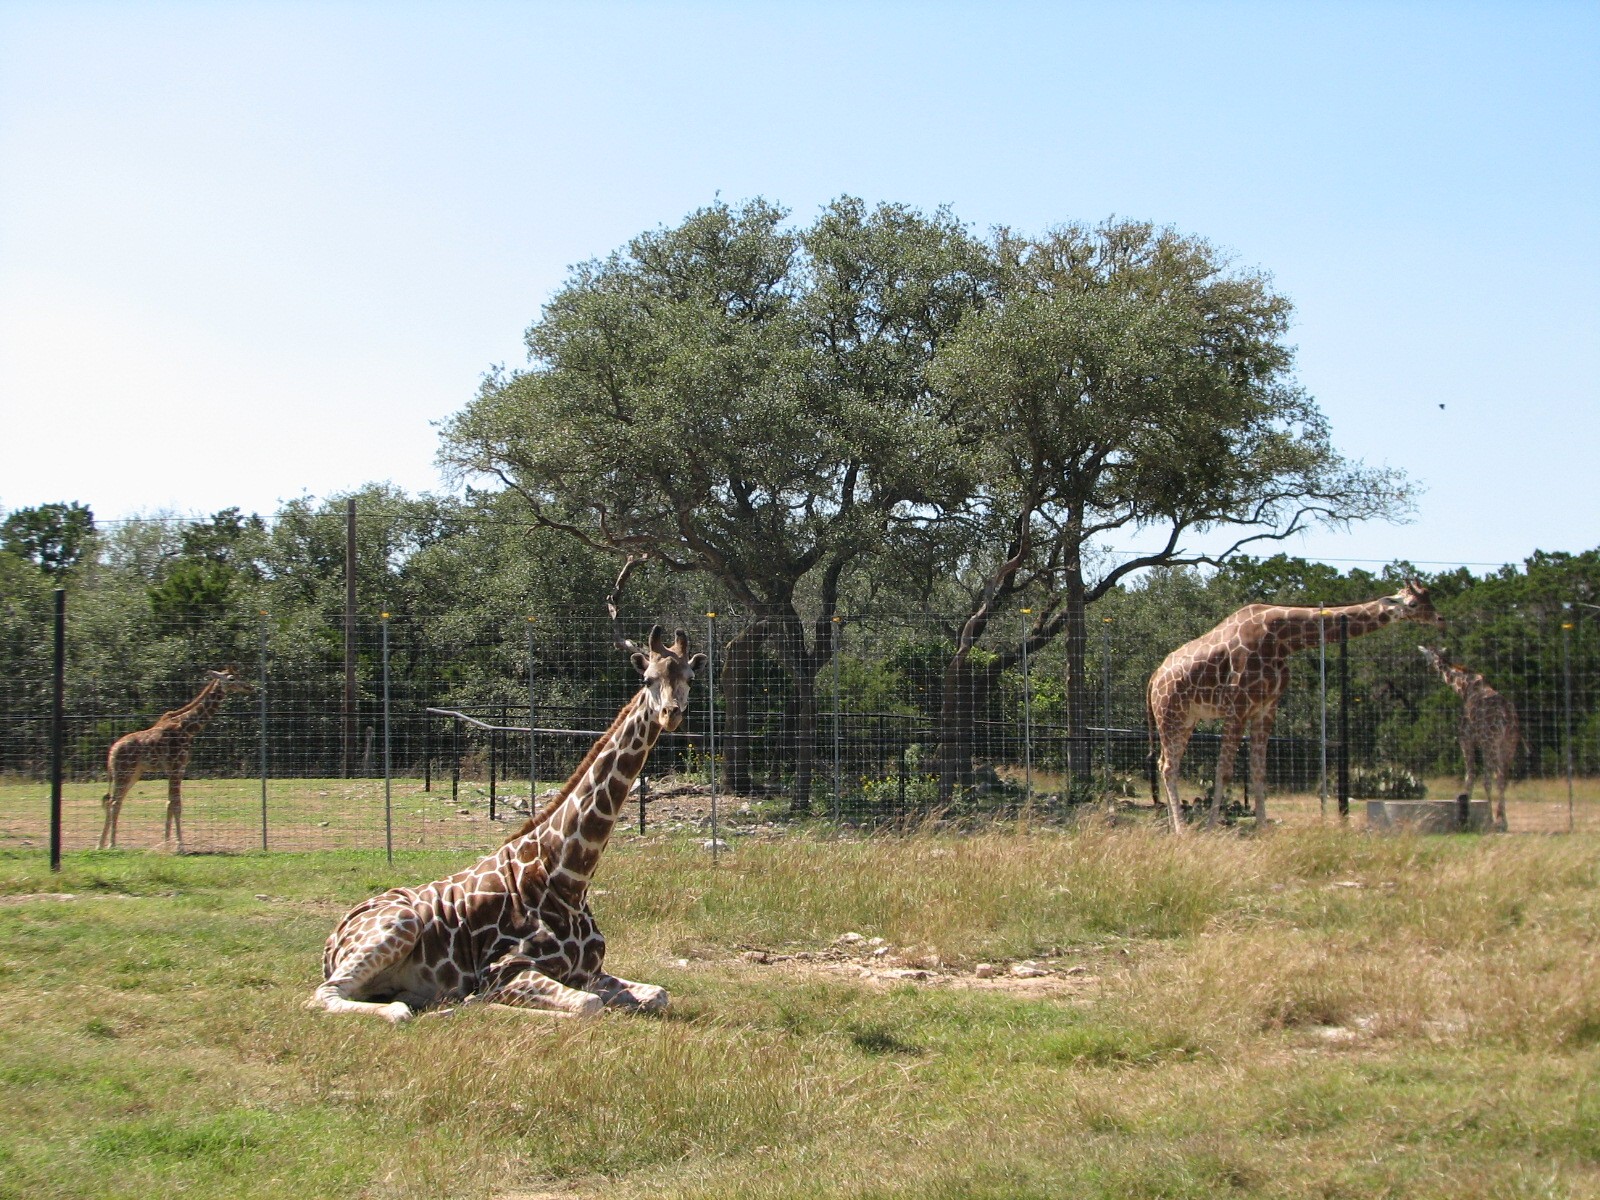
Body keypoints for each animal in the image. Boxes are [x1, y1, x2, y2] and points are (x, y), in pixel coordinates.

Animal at [99, 666, 254, 852]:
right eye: (231, 679)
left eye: (240, 676)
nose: (249, 687)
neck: (187, 728)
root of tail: (111, 753)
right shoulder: (175, 766)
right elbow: (176, 804)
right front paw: (180, 847)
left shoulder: (179, 769)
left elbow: (170, 804)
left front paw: (167, 844)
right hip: (123, 772)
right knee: (114, 802)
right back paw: (111, 844)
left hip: (133, 773)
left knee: (113, 801)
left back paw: (100, 844)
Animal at [307, 624, 705, 1022]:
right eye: (647, 678)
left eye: (690, 678)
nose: (670, 715)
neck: (569, 878)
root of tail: (331, 941)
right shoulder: (505, 969)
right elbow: (588, 1006)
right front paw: (487, 1003)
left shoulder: (589, 971)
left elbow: (659, 993)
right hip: (399, 924)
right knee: (325, 996)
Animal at [1147, 582, 1443, 833]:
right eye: (1414, 603)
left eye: (1429, 598)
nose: (1440, 619)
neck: (1283, 638)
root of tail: (1154, 678)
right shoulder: (1239, 706)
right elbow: (1225, 770)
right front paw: (1210, 829)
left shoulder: (1266, 708)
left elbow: (1258, 770)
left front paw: (1263, 830)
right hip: (1170, 714)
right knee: (1169, 766)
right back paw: (1182, 831)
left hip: (1187, 719)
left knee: (1165, 763)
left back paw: (1174, 826)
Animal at [1418, 646, 1520, 831]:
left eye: (1426, 655)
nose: (1428, 668)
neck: (1464, 688)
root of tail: (1507, 715)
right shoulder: (1483, 743)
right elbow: (1483, 778)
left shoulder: (1466, 739)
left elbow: (1471, 776)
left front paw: (1467, 817)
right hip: (1509, 743)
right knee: (1504, 776)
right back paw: (1503, 821)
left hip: (1491, 742)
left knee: (1496, 776)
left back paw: (1496, 822)